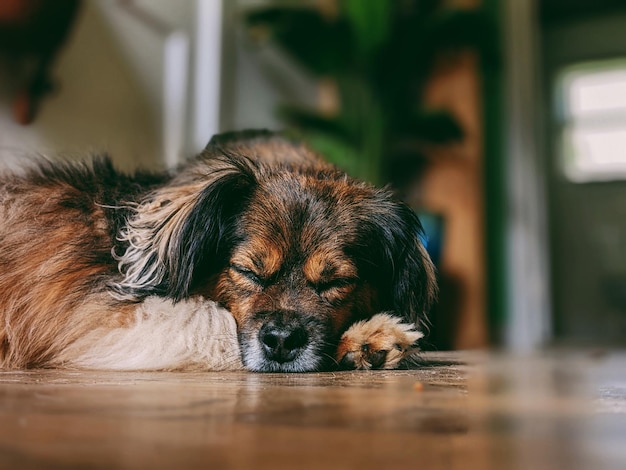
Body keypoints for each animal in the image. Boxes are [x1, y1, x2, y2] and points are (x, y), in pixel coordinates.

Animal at [0, 131, 436, 370]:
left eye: (336, 282)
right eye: (248, 272)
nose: (281, 341)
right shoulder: (100, 322)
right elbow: (218, 326)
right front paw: (372, 336)